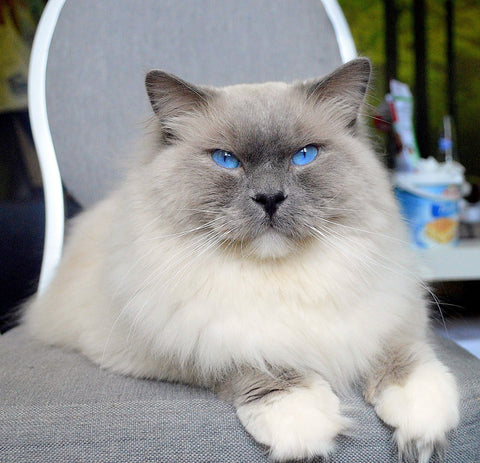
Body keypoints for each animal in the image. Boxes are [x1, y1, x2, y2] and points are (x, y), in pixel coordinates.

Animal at [24, 59, 460, 463]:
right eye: (226, 160)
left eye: (304, 156)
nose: (269, 198)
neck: (280, 279)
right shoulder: (189, 343)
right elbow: (262, 367)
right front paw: (303, 426)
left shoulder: (385, 319)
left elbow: (405, 361)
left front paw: (422, 428)